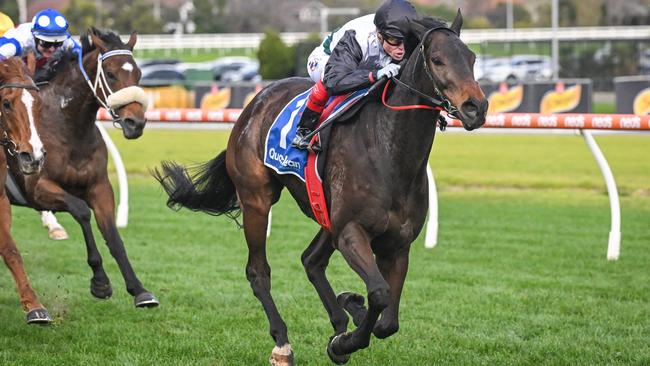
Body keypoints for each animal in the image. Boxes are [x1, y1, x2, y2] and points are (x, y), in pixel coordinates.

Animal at [7, 27, 158, 310]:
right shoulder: (38, 189)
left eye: (138, 74)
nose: (136, 123)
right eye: (110, 74)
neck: (68, 127)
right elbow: (82, 211)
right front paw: (100, 282)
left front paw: (139, 290)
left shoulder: (99, 187)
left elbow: (113, 236)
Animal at [154, 12, 484, 366]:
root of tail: (254, 104)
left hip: (325, 213)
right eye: (437, 60)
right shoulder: (351, 231)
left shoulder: (397, 244)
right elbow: (379, 294)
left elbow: (388, 321)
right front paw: (344, 340)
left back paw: (341, 317)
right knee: (258, 271)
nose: (477, 108)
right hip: (257, 199)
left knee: (311, 260)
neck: (390, 150)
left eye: (472, 58)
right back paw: (283, 343)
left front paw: (349, 316)